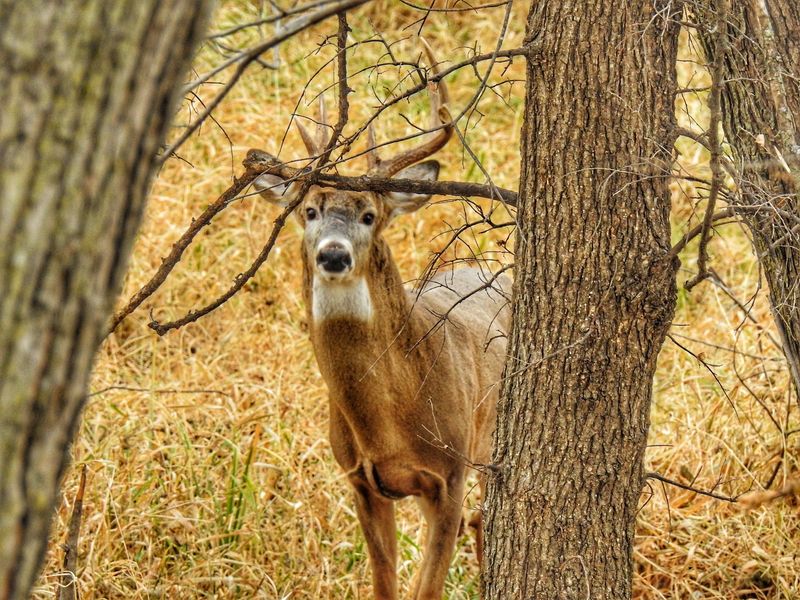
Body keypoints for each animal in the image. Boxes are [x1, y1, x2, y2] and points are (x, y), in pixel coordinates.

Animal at [254, 44, 511, 600]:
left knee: (484, 518)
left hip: (487, 442)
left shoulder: (450, 476)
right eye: (308, 210)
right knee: (482, 522)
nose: (333, 254)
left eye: (370, 216)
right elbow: (385, 584)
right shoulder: (360, 480)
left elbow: (427, 587)